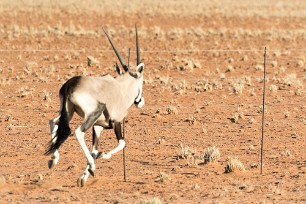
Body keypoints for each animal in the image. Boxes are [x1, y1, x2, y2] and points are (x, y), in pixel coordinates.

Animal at [45, 25, 146, 186]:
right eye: (142, 82)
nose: (140, 101)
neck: (121, 88)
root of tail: (71, 84)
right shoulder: (116, 122)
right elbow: (121, 143)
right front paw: (101, 156)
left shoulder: (98, 126)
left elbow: (93, 149)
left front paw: (84, 177)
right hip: (92, 113)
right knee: (78, 132)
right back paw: (90, 164)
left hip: (68, 112)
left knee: (53, 122)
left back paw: (53, 159)